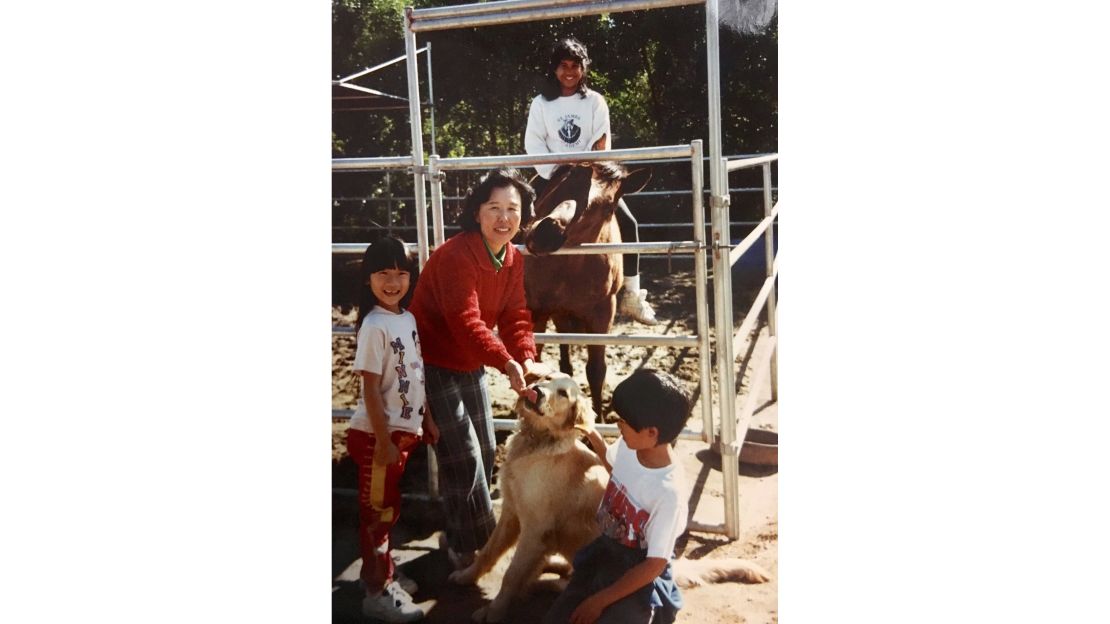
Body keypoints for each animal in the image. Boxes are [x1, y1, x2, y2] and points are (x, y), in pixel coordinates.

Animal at [446, 370, 768, 617]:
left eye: (562, 393)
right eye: (545, 378)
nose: (535, 391)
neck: (537, 441)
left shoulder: (535, 527)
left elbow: (511, 576)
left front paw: (493, 612)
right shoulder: (512, 513)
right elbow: (488, 551)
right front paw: (466, 576)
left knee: (562, 583)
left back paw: (538, 582)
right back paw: (547, 566)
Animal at [521, 159, 648, 415]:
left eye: (608, 207)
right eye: (559, 183)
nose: (546, 233)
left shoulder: (602, 314)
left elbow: (596, 371)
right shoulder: (537, 311)